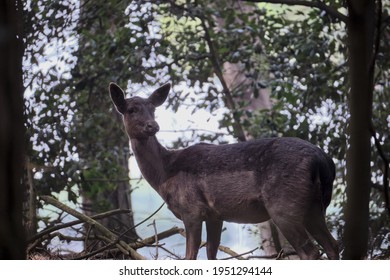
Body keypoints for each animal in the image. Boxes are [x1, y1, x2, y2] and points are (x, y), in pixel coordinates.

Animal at [108, 81, 340, 260]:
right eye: (131, 109)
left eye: (153, 109)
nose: (152, 126)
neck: (165, 173)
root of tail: (323, 161)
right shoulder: (214, 214)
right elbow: (211, 254)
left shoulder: (191, 209)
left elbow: (190, 257)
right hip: (315, 206)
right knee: (332, 245)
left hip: (284, 204)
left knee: (310, 252)